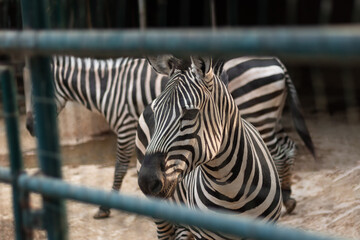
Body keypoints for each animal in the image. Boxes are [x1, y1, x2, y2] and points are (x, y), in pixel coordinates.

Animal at [25, 55, 312, 218]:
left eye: (36, 90)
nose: (28, 128)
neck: (109, 86)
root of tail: (278, 62)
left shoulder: (125, 124)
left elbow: (119, 166)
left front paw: (106, 206)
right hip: (269, 115)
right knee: (287, 147)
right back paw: (288, 196)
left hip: (259, 111)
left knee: (278, 151)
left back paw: (285, 196)